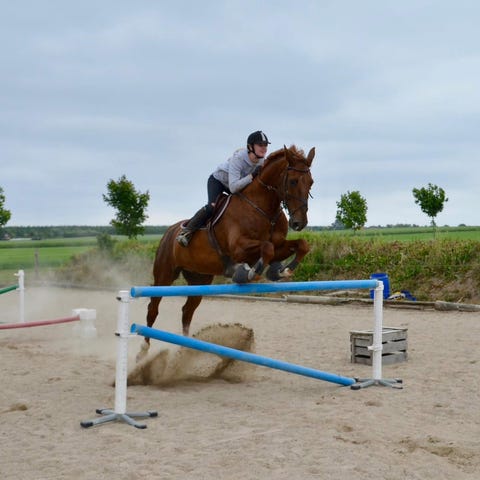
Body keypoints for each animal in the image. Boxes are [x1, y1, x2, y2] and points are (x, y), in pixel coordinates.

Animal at [137, 145, 315, 360]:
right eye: (293, 181)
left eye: (311, 182)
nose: (299, 223)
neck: (263, 207)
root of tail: (168, 232)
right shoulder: (239, 248)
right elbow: (267, 248)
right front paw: (249, 272)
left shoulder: (280, 244)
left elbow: (300, 245)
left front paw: (282, 271)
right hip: (164, 274)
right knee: (153, 308)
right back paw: (143, 351)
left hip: (200, 279)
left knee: (187, 311)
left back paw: (186, 351)